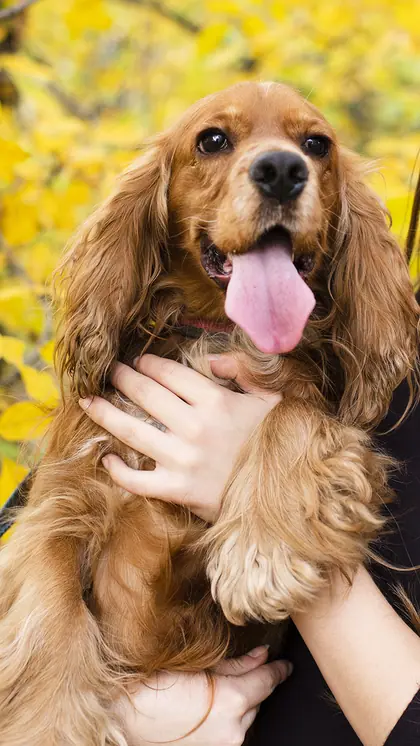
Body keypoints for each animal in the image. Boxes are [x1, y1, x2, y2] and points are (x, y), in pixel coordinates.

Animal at [0, 81, 418, 746]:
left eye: (316, 144)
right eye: (213, 140)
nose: (282, 171)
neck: (220, 333)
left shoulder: (334, 431)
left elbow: (294, 418)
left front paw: (262, 552)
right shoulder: (60, 504)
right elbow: (50, 618)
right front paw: (46, 729)